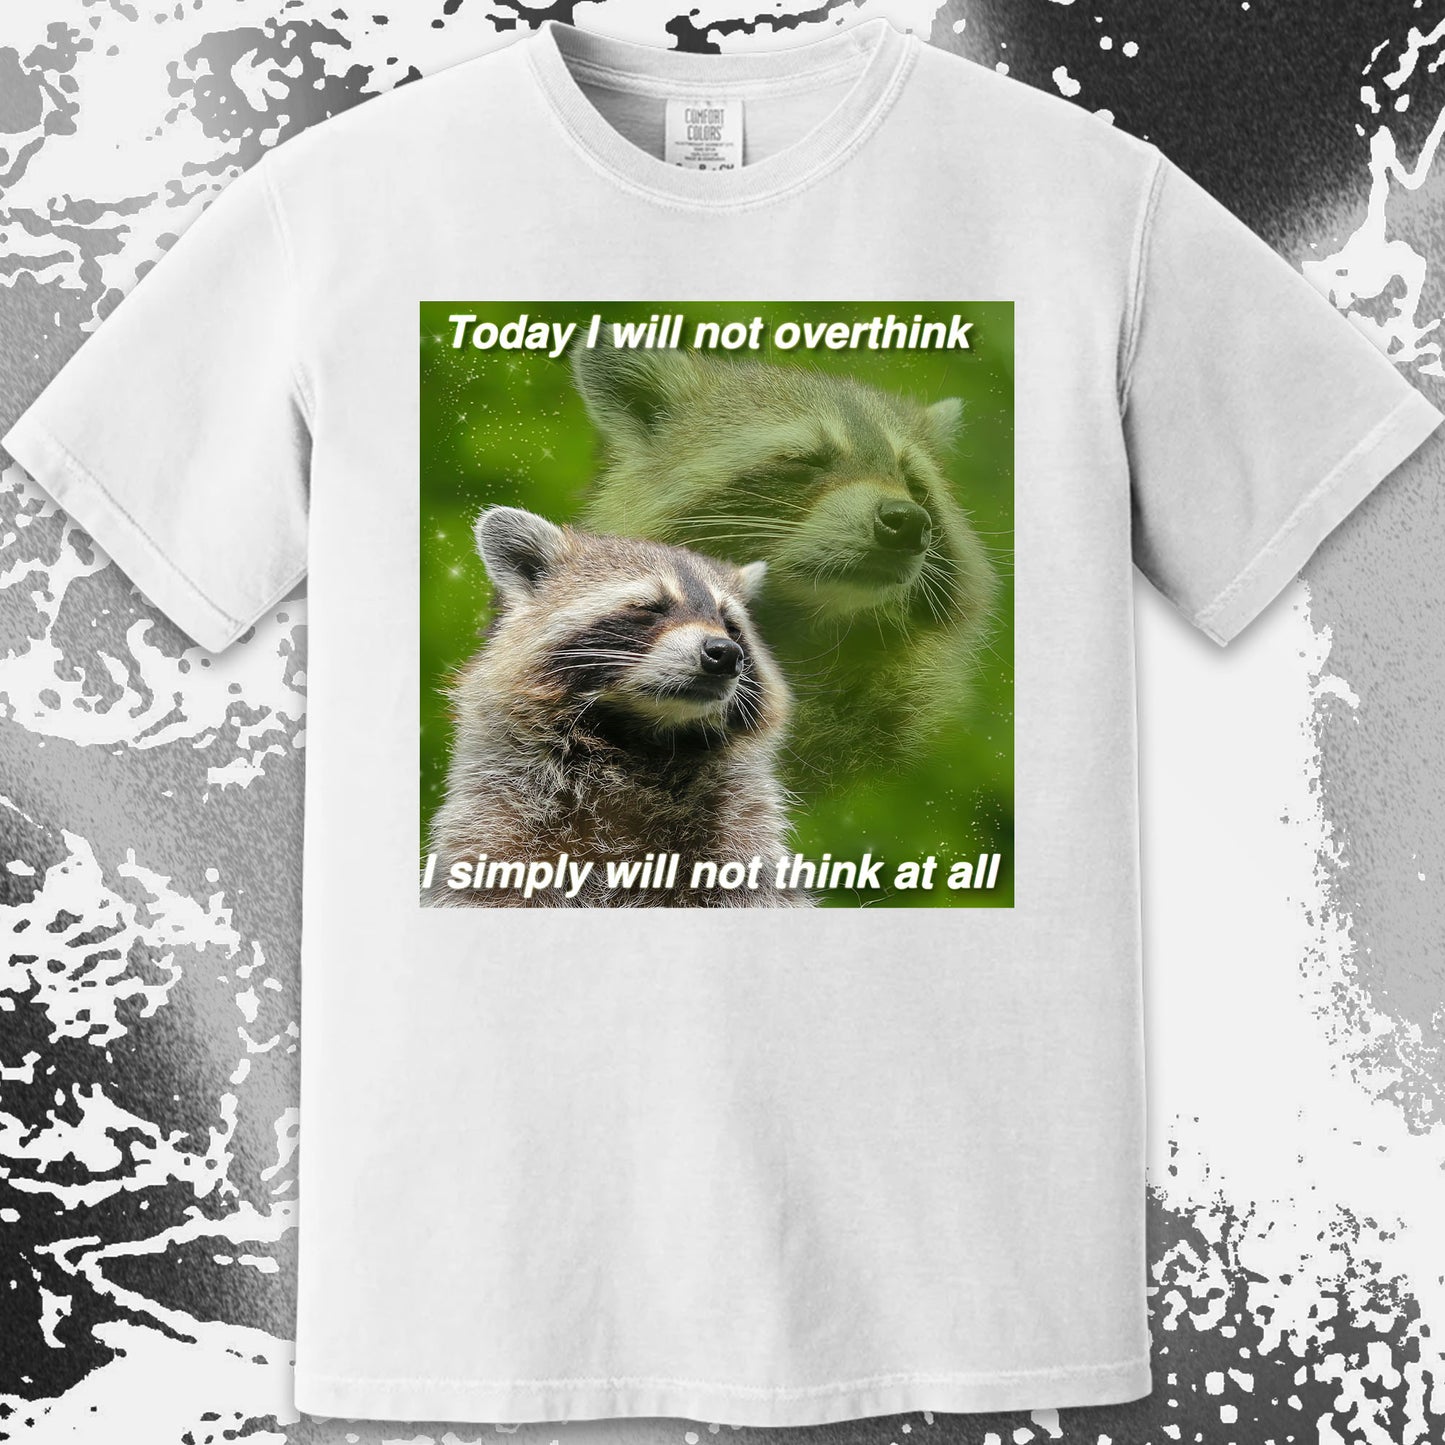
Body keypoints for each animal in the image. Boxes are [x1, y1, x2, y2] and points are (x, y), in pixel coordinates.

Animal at [426, 506, 802, 907]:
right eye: (650, 609)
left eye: (731, 626)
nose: (725, 654)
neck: (640, 739)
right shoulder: (497, 813)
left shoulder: (740, 824)